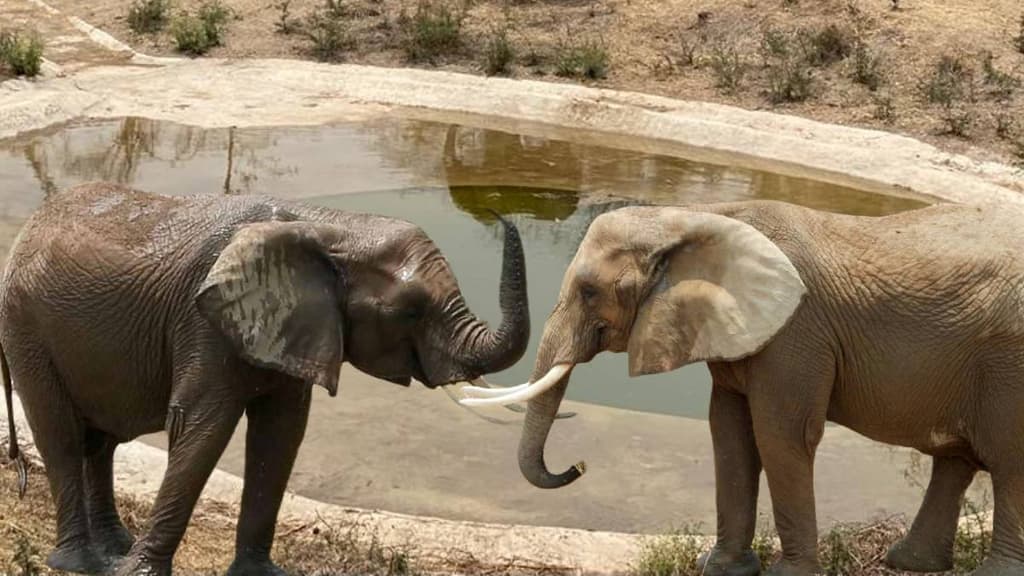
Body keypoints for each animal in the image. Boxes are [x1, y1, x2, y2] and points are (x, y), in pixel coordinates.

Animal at [0, 182, 531, 576]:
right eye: (412, 311)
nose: (500, 213)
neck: (325, 223)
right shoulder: (203, 323)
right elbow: (202, 429)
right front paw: (140, 573)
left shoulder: (297, 328)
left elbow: (281, 435)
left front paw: (260, 574)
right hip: (26, 326)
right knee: (62, 437)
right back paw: (83, 562)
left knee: (101, 443)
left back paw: (112, 548)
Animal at [461, 200, 1024, 576]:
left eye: (588, 291)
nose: (577, 465)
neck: (702, 218)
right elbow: (729, 431)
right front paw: (721, 567)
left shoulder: (796, 333)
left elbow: (780, 435)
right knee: (956, 458)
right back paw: (908, 562)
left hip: (1010, 365)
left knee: (1007, 460)